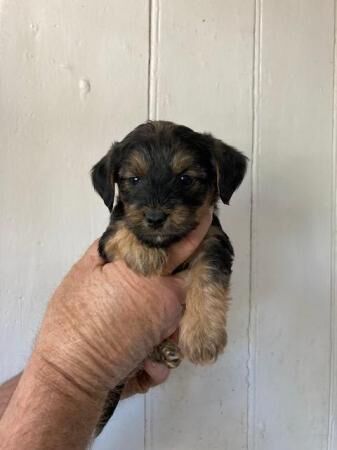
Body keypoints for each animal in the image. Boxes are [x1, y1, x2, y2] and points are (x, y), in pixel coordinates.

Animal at [90, 120, 245, 432]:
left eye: (185, 178)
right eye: (134, 179)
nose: (155, 218)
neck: (168, 242)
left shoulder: (213, 241)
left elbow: (206, 280)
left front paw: (203, 336)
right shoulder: (107, 240)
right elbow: (122, 230)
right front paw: (145, 254)